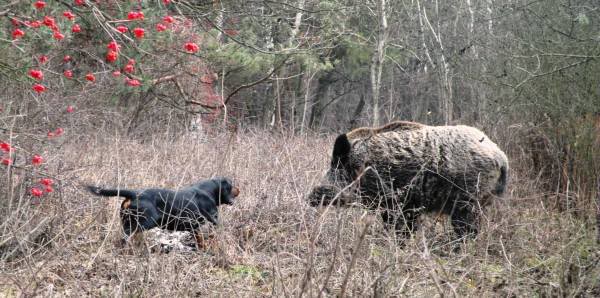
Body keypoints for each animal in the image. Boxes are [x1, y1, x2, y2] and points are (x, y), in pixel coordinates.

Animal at [86, 177, 239, 247]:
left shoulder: (194, 227)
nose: (239, 189)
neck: (208, 191)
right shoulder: (213, 219)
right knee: (127, 235)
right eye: (231, 185)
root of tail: (134, 194)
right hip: (145, 222)